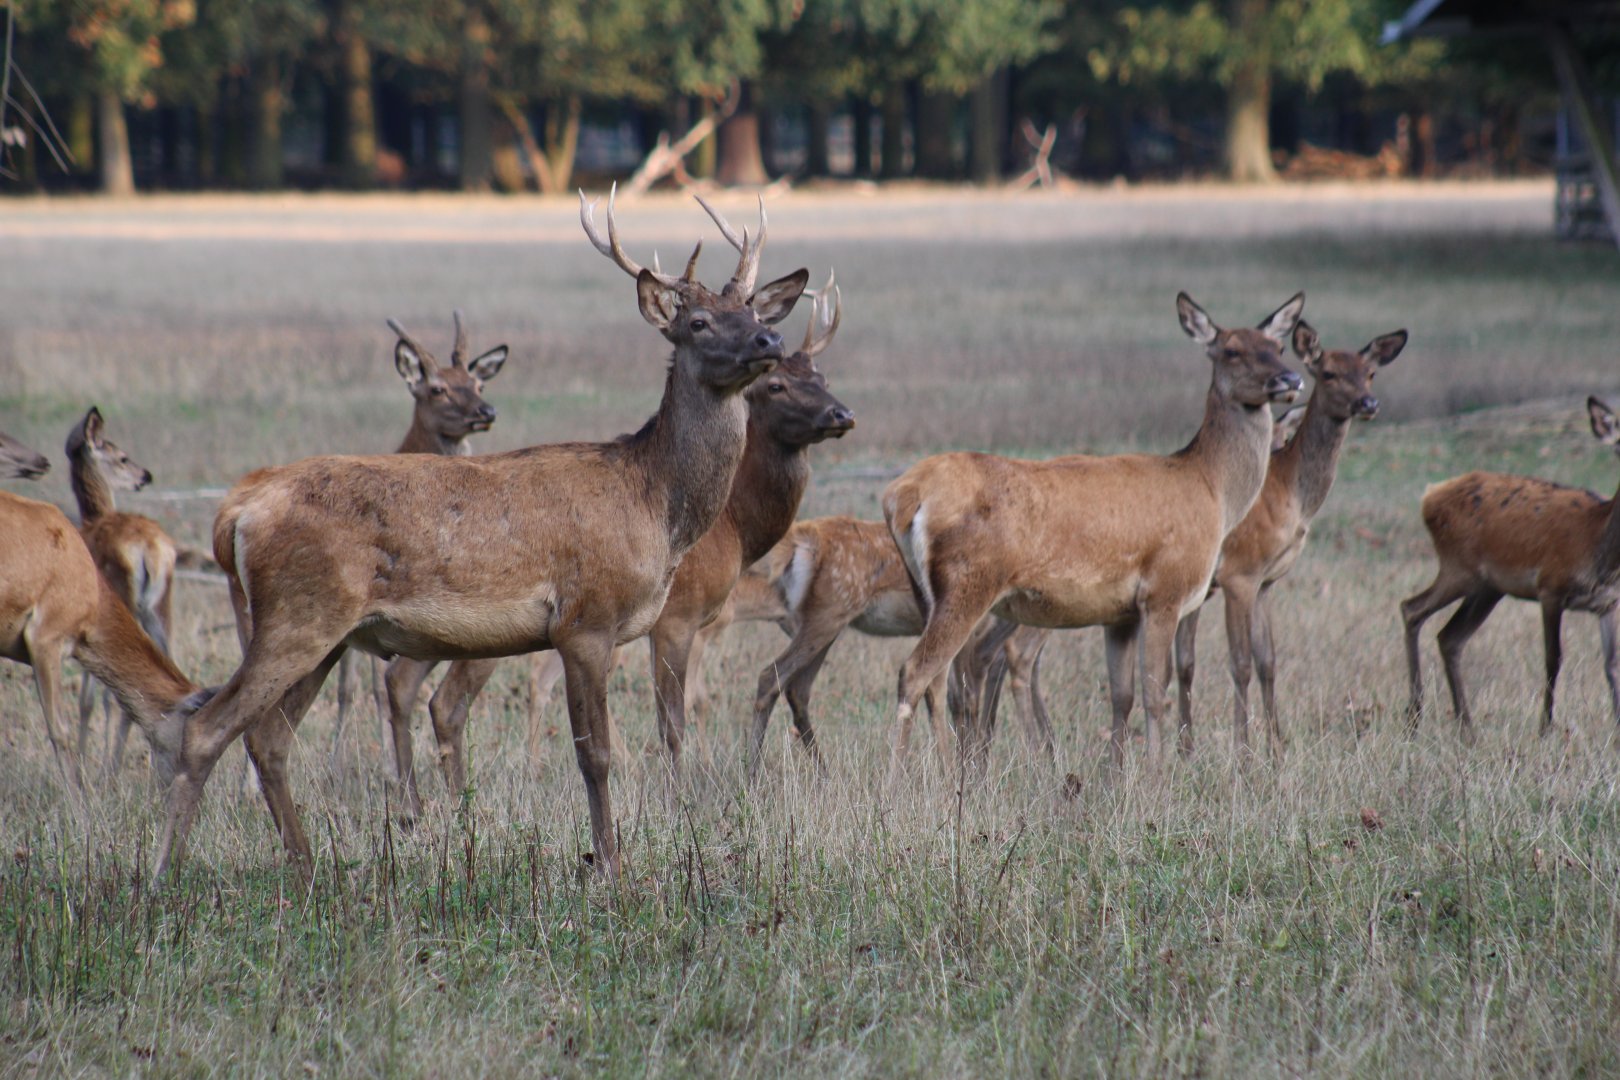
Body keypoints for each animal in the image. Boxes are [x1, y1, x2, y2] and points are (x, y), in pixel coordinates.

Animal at [65, 406, 182, 769]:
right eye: (122, 457)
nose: (145, 475)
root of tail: (150, 550)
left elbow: (89, 698)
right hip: (160, 611)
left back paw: (111, 768)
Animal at [382, 271, 851, 812]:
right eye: (776, 385)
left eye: (823, 378)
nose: (841, 414)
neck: (736, 528)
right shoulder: (677, 617)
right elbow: (677, 711)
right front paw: (680, 792)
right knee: (444, 699)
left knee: (401, 679)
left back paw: (417, 802)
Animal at [883, 292, 1304, 776]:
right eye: (1231, 350)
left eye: (1279, 346)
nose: (1290, 379)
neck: (1211, 489)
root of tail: (901, 495)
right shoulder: (1165, 591)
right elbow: (1154, 693)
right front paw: (1157, 777)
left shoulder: (1120, 613)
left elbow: (1122, 695)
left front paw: (1116, 777)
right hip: (968, 583)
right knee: (916, 671)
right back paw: (901, 782)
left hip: (929, 593)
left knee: (939, 680)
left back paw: (950, 775)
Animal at [1400, 396, 1620, 742]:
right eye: (1619, 444)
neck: (1598, 551)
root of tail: (1429, 495)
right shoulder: (1550, 586)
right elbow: (1553, 658)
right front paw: (1544, 729)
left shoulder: (1608, 603)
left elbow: (1611, 665)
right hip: (1458, 567)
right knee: (1412, 608)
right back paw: (1414, 718)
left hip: (1488, 588)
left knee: (1449, 636)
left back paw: (1466, 726)